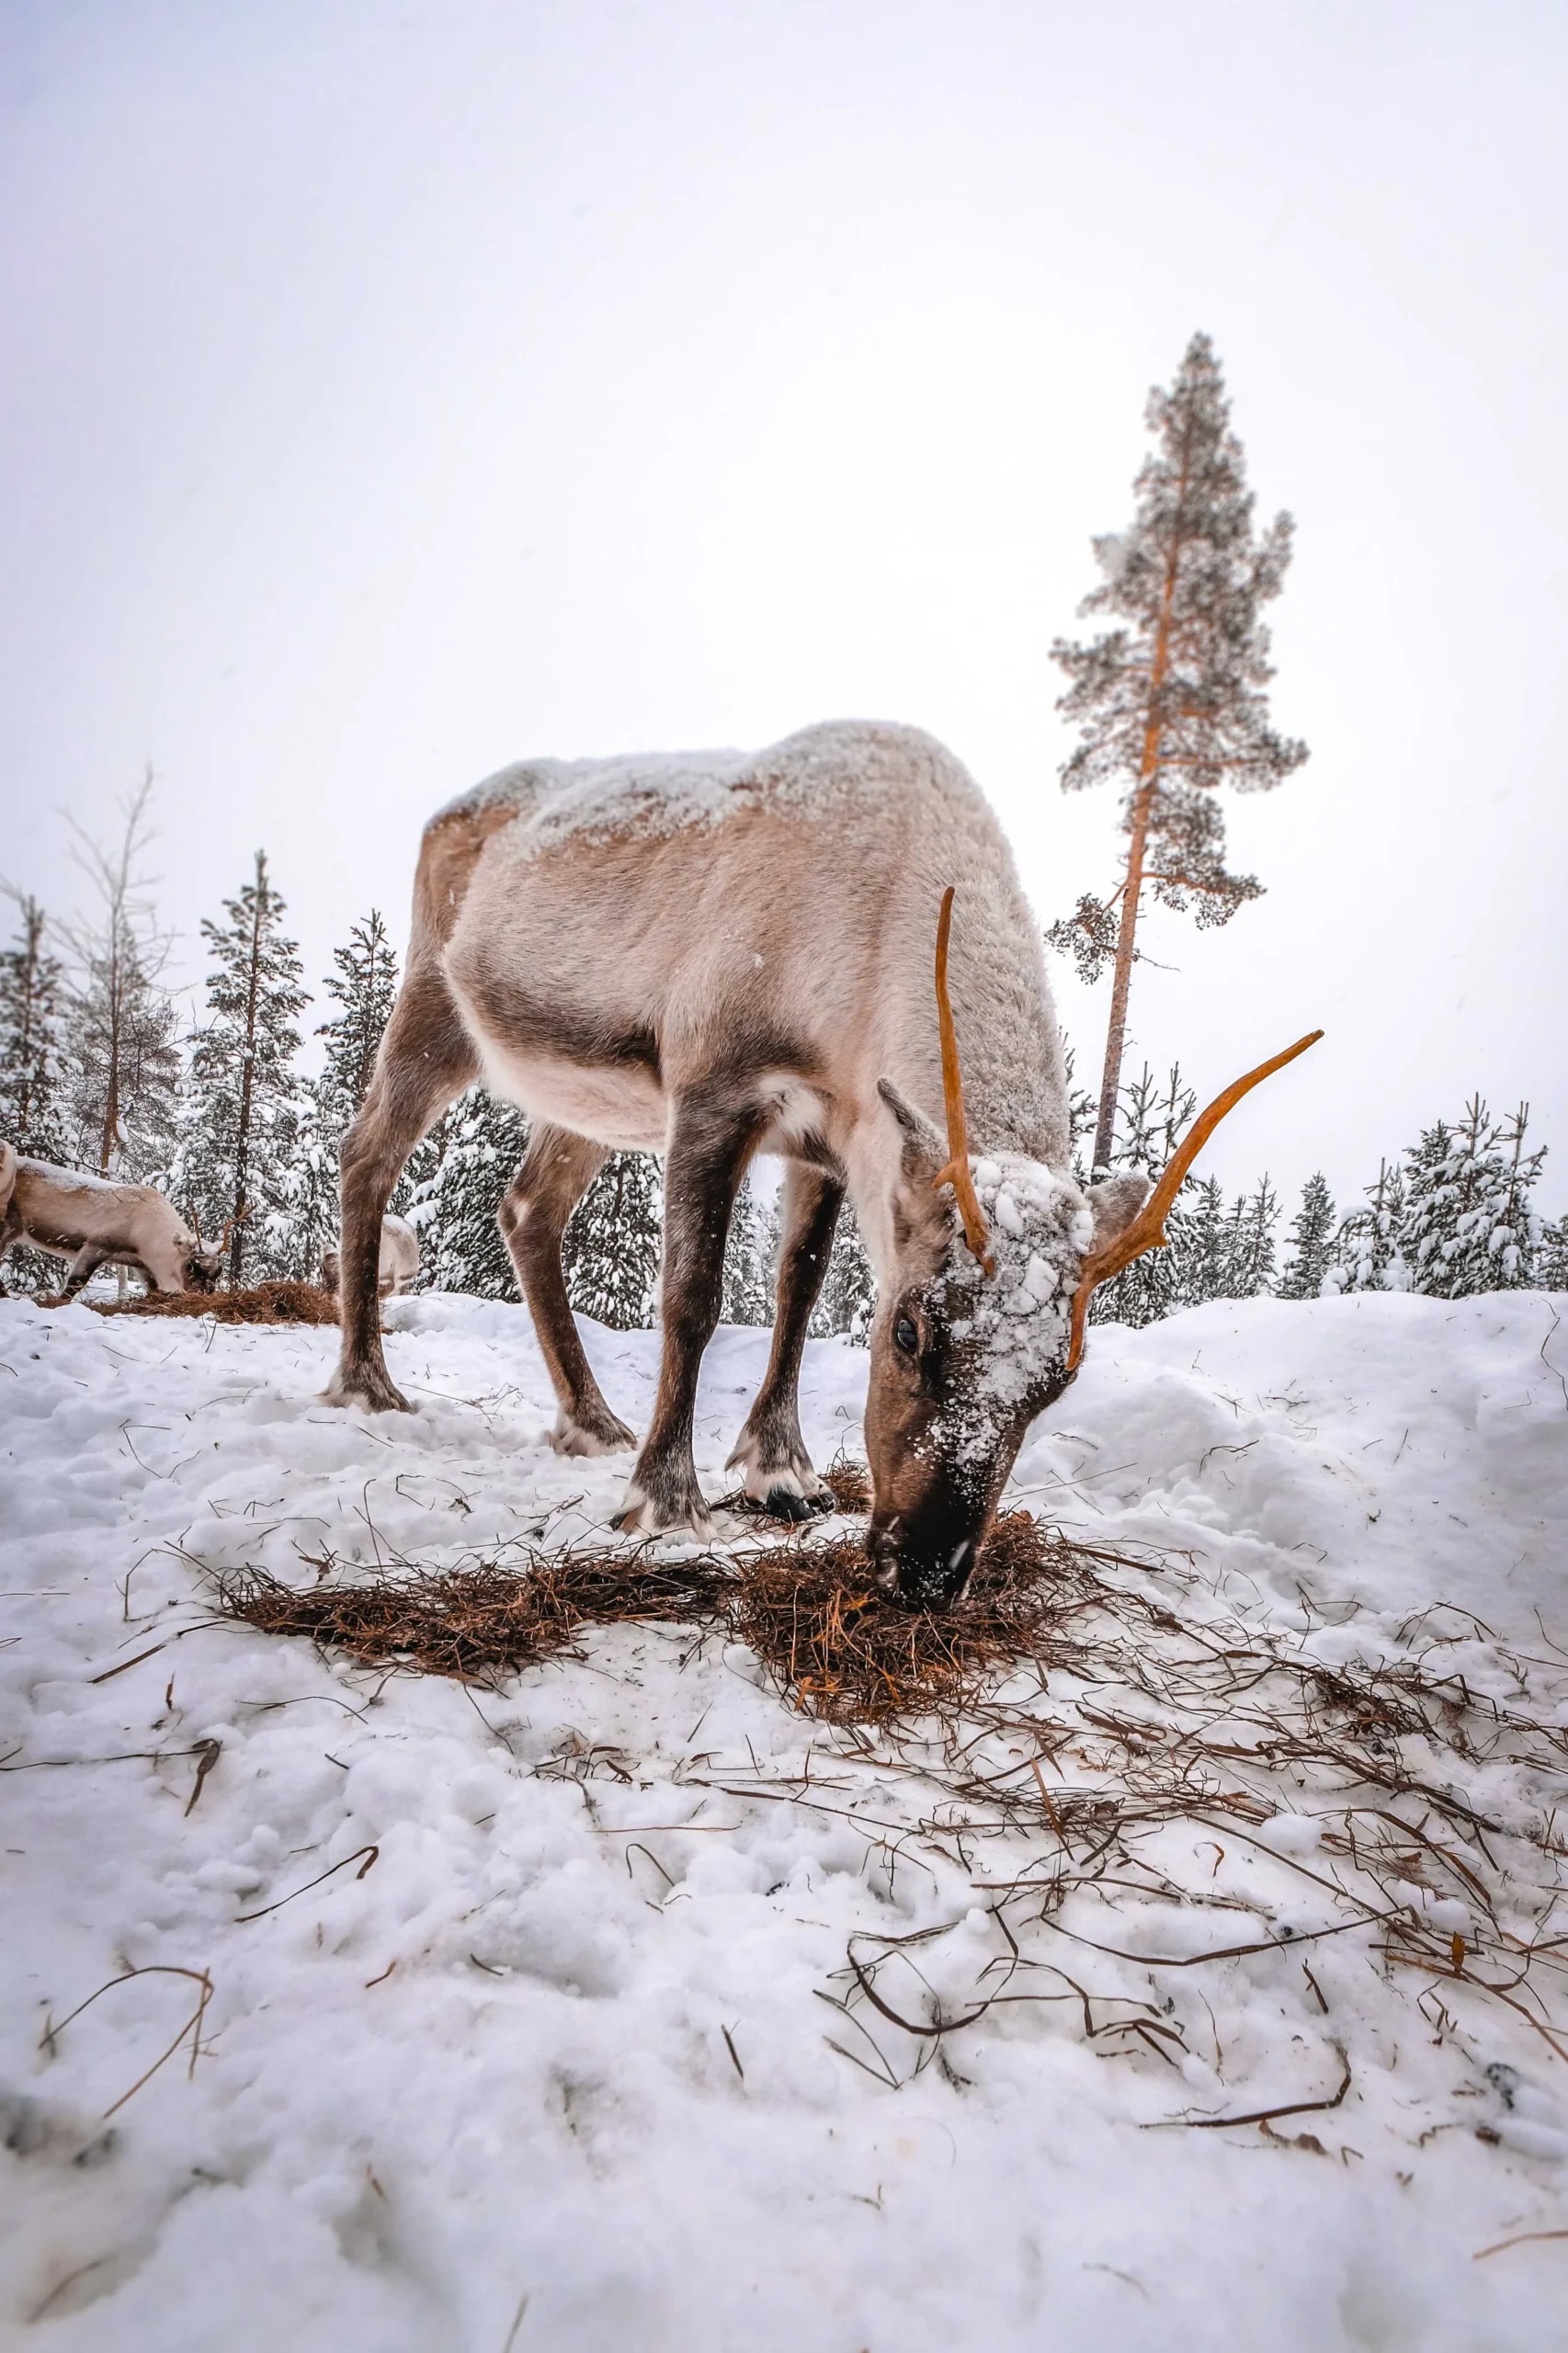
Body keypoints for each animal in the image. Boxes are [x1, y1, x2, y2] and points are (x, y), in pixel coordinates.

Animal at [0, 1145, 229, 1299]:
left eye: (219, 1271)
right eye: (190, 1265)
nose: (206, 1291)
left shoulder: (140, 1263)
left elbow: (152, 1288)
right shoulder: (98, 1244)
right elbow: (75, 1282)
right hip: (8, 1226)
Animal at [326, 721, 1319, 1609]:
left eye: (1060, 1376)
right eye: (910, 1330)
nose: (926, 1571)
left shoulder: (832, 1142)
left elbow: (796, 1293)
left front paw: (780, 1473)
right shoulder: (713, 1085)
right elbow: (692, 1297)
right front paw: (666, 1500)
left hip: (583, 1102)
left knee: (528, 1207)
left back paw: (590, 1421)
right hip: (433, 1003)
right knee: (364, 1153)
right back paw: (368, 1382)